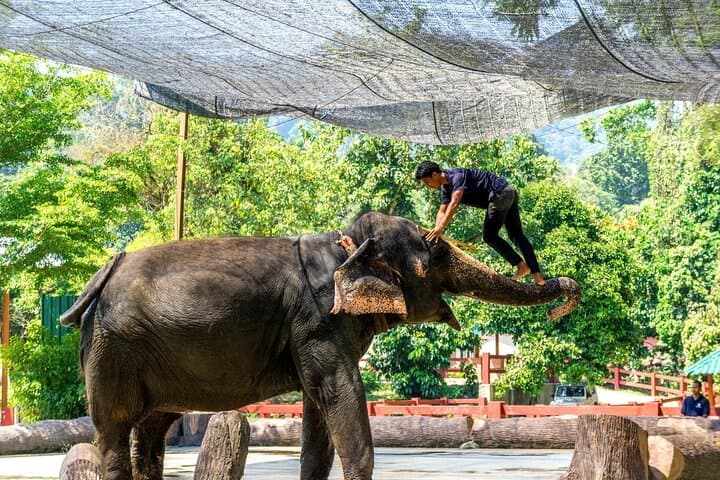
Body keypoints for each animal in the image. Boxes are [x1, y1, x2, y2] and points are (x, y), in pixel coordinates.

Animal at [60, 212, 580, 480]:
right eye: (433, 251)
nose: (566, 296)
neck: (345, 242)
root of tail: (100, 277)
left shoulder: (313, 330)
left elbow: (319, 410)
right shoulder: (316, 320)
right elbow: (339, 393)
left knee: (152, 429)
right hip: (115, 348)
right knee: (115, 431)